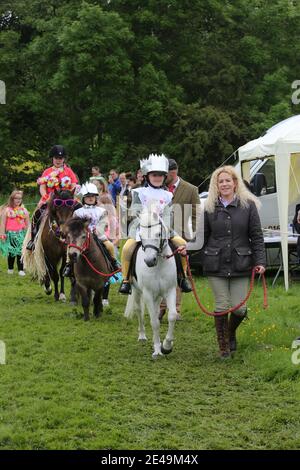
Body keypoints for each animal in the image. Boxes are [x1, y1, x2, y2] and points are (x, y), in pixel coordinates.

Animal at [125, 207, 178, 358]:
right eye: (141, 235)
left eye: (158, 233)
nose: (149, 261)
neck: (158, 264)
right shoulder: (147, 293)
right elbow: (154, 322)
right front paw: (157, 350)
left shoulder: (170, 291)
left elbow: (172, 316)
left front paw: (166, 346)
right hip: (137, 291)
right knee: (139, 310)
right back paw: (142, 336)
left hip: (158, 296)